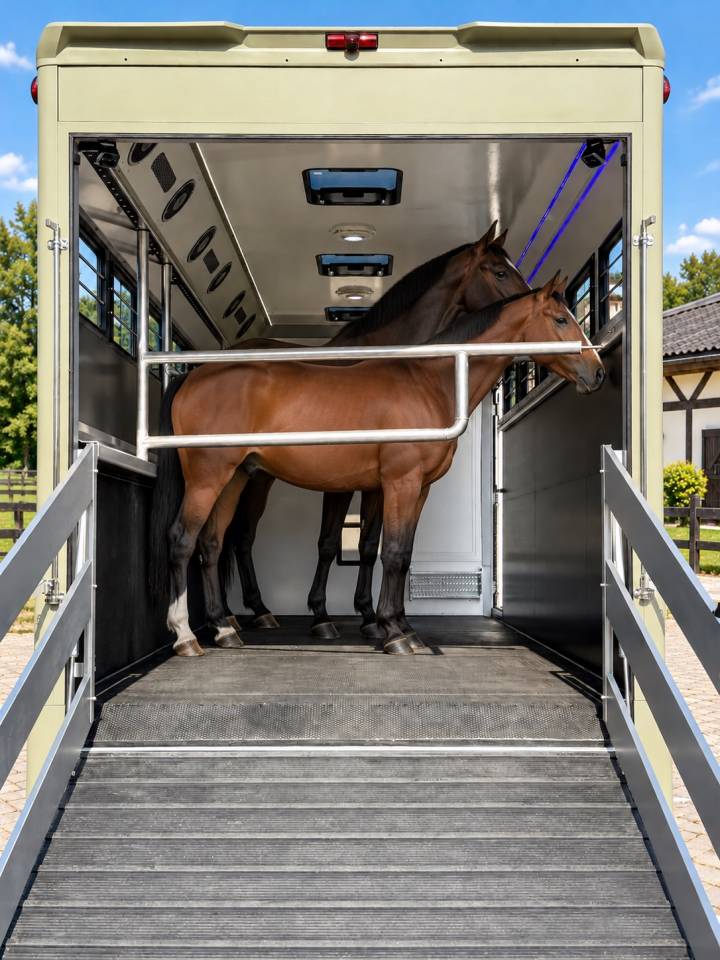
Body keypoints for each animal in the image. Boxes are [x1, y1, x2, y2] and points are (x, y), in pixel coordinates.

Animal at [149, 273, 604, 658]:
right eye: (561, 319)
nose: (597, 373)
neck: (430, 381)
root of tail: (193, 376)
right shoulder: (401, 482)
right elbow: (394, 553)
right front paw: (393, 633)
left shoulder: (418, 488)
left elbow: (400, 552)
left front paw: (400, 626)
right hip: (209, 478)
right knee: (182, 539)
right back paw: (186, 635)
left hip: (235, 478)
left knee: (211, 544)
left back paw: (225, 628)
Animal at [221, 223, 530, 647]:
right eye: (499, 272)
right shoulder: (340, 481)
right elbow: (328, 543)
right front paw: (322, 616)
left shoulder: (377, 483)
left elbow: (370, 546)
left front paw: (370, 617)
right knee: (237, 536)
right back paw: (241, 613)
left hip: (257, 474)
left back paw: (251, 612)